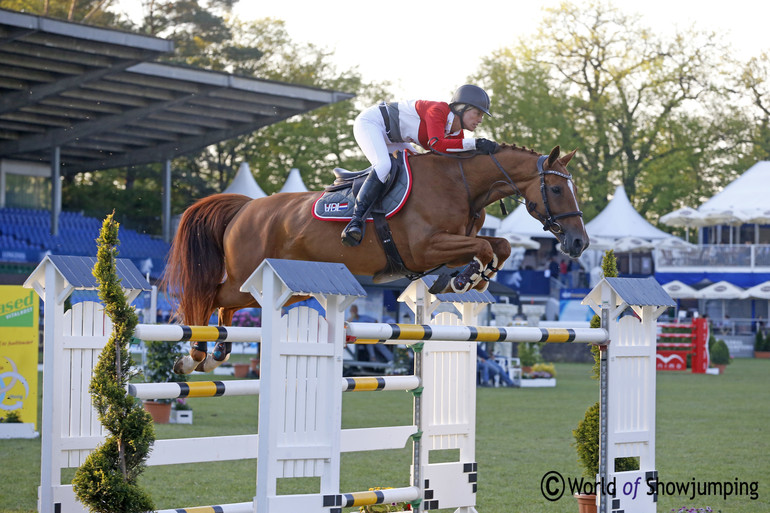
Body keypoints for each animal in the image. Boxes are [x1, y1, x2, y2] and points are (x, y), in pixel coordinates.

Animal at [164, 144, 588, 372]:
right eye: (555, 188)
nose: (579, 243)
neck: (463, 184)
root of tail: (246, 208)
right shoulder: (426, 247)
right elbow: (485, 248)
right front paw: (466, 278)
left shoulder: (454, 242)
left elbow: (499, 246)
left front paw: (466, 277)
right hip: (246, 278)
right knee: (208, 297)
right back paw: (193, 356)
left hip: (286, 288)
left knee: (225, 307)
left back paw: (214, 357)